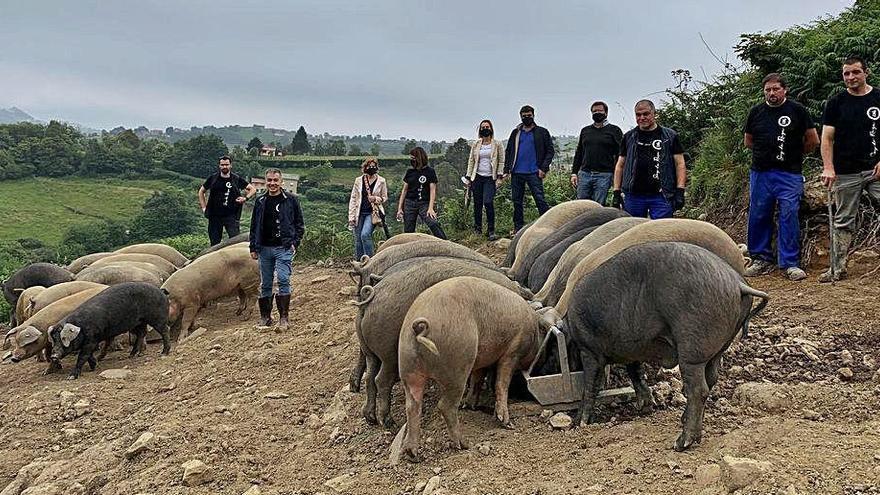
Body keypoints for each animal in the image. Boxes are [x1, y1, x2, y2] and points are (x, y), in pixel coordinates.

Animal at [356, 258, 528, 428]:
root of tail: (372, 296)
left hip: (370, 351)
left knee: (370, 376)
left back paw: (370, 418)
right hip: (389, 353)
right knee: (381, 380)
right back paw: (389, 423)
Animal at [398, 278, 552, 464]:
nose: (543, 362)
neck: (532, 327)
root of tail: (418, 328)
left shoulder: (481, 360)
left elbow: (477, 379)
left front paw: (471, 405)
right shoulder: (513, 352)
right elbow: (502, 382)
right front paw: (506, 423)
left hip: (408, 369)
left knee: (412, 406)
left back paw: (413, 454)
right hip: (457, 366)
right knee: (445, 406)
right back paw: (463, 444)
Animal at [560, 242, 768, 452]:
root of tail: (738, 284)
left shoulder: (589, 350)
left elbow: (590, 384)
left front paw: (578, 423)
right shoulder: (633, 348)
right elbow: (636, 371)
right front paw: (645, 407)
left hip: (692, 347)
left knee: (699, 389)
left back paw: (681, 444)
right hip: (719, 348)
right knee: (711, 379)